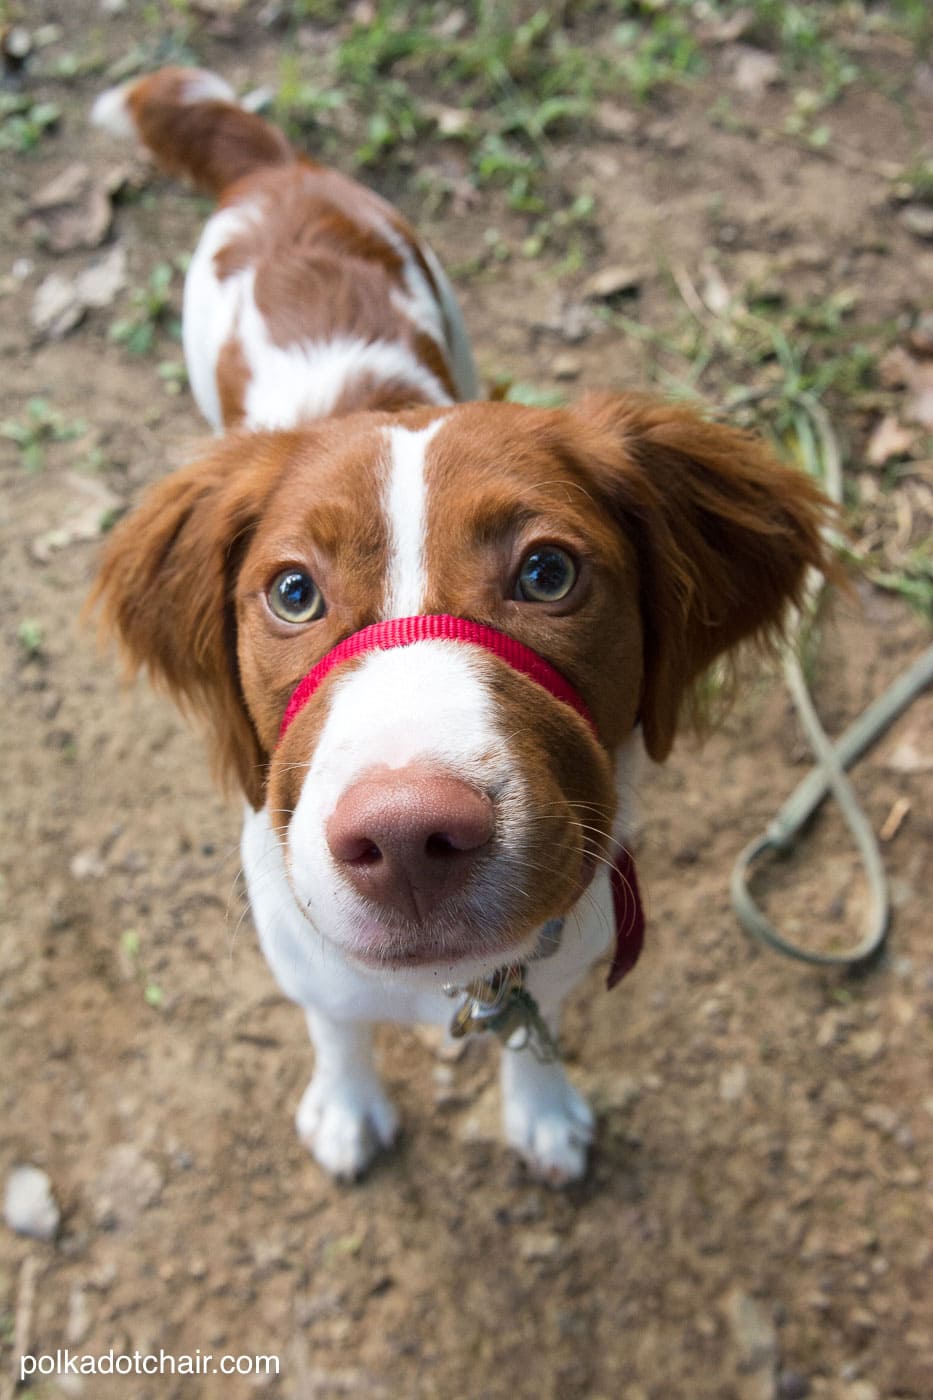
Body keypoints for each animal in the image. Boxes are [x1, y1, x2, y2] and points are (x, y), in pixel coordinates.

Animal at [91, 68, 823, 1181]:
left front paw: (543, 1109)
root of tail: (278, 168)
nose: (406, 835)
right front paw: (347, 1106)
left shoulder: (567, 938)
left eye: (548, 572)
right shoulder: (303, 953)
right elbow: (335, 1024)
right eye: (293, 592)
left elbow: (535, 1030)